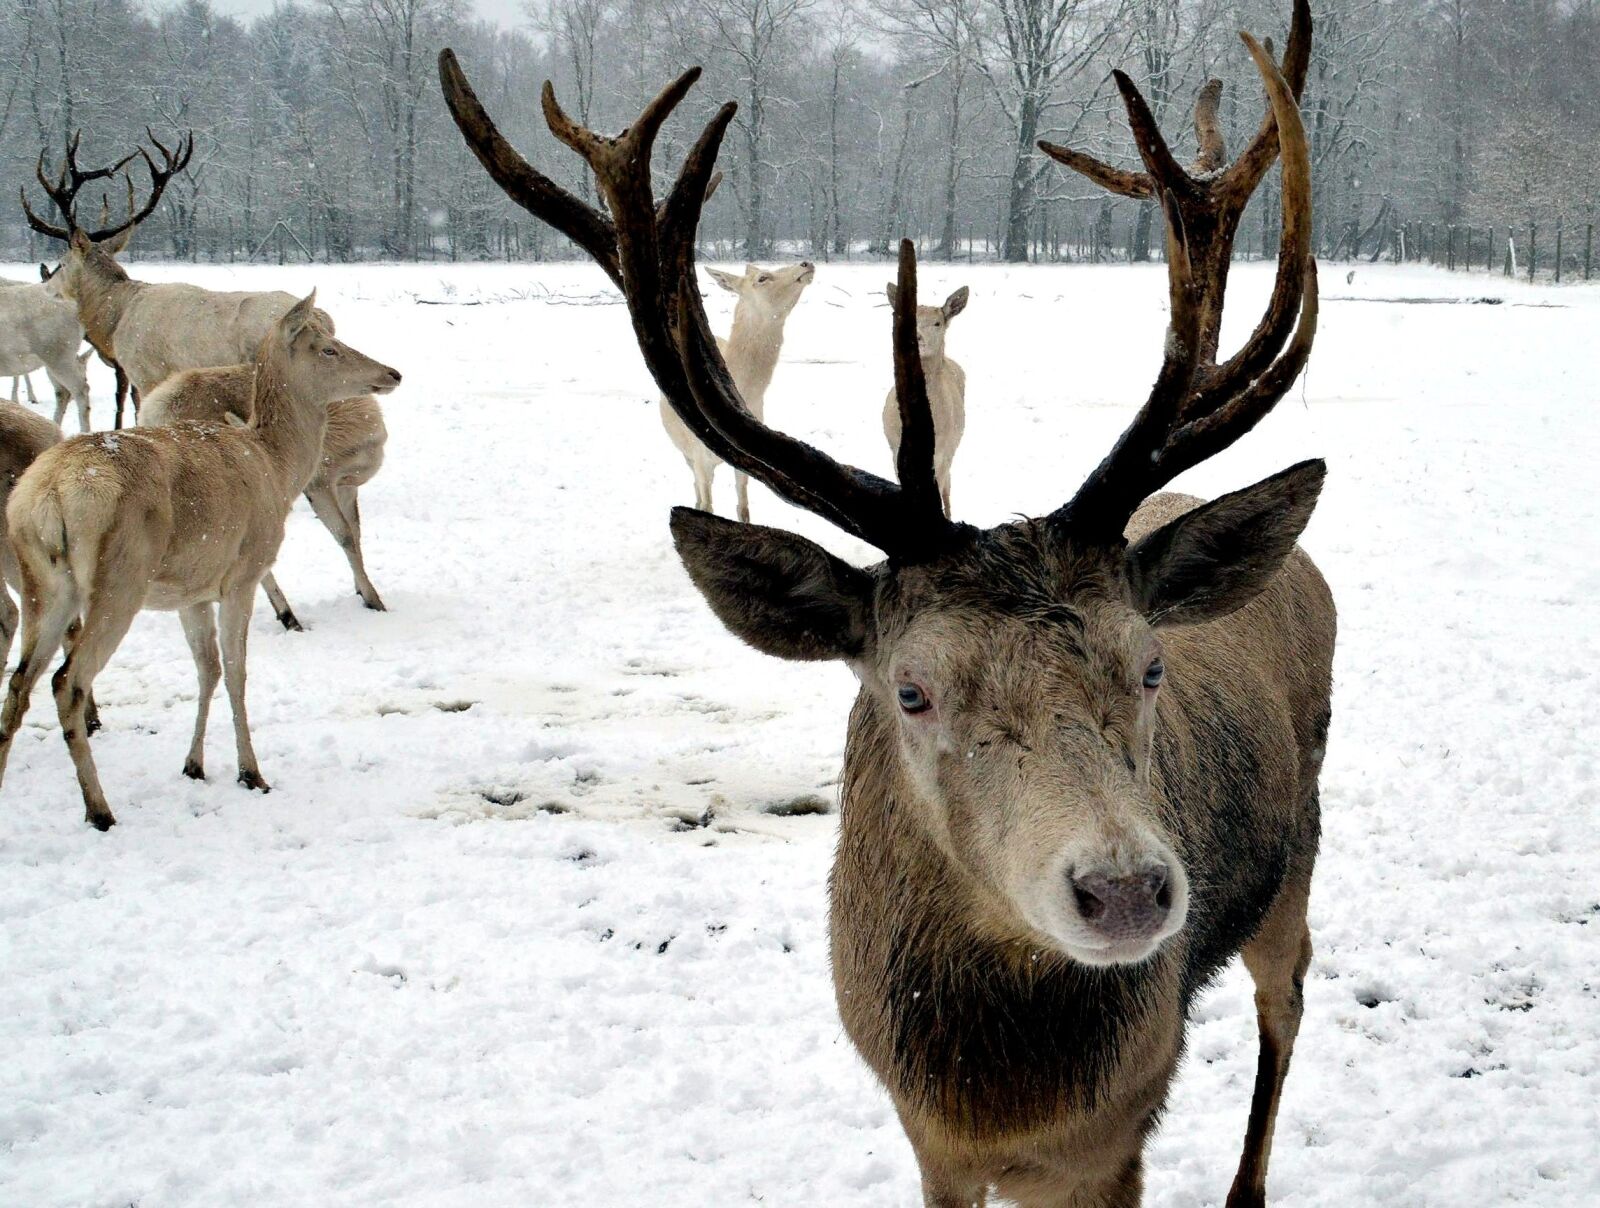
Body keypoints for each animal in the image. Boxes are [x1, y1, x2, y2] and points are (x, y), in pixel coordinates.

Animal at [140, 368, 392, 626]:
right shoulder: (319, 482)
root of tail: (151, 410)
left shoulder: (346, 487)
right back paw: (287, 615)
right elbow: (345, 536)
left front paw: (361, 590)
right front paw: (374, 600)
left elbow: (356, 531)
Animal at [660, 260, 814, 522]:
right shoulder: (699, 456)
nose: (806, 263)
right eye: (762, 278)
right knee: (696, 488)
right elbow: (707, 507)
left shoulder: (746, 459)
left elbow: (743, 509)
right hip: (684, 452)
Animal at [882, 283, 968, 518]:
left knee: (948, 487)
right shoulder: (895, 448)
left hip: (953, 446)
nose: (917, 337)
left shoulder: (943, 450)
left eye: (937, 323)